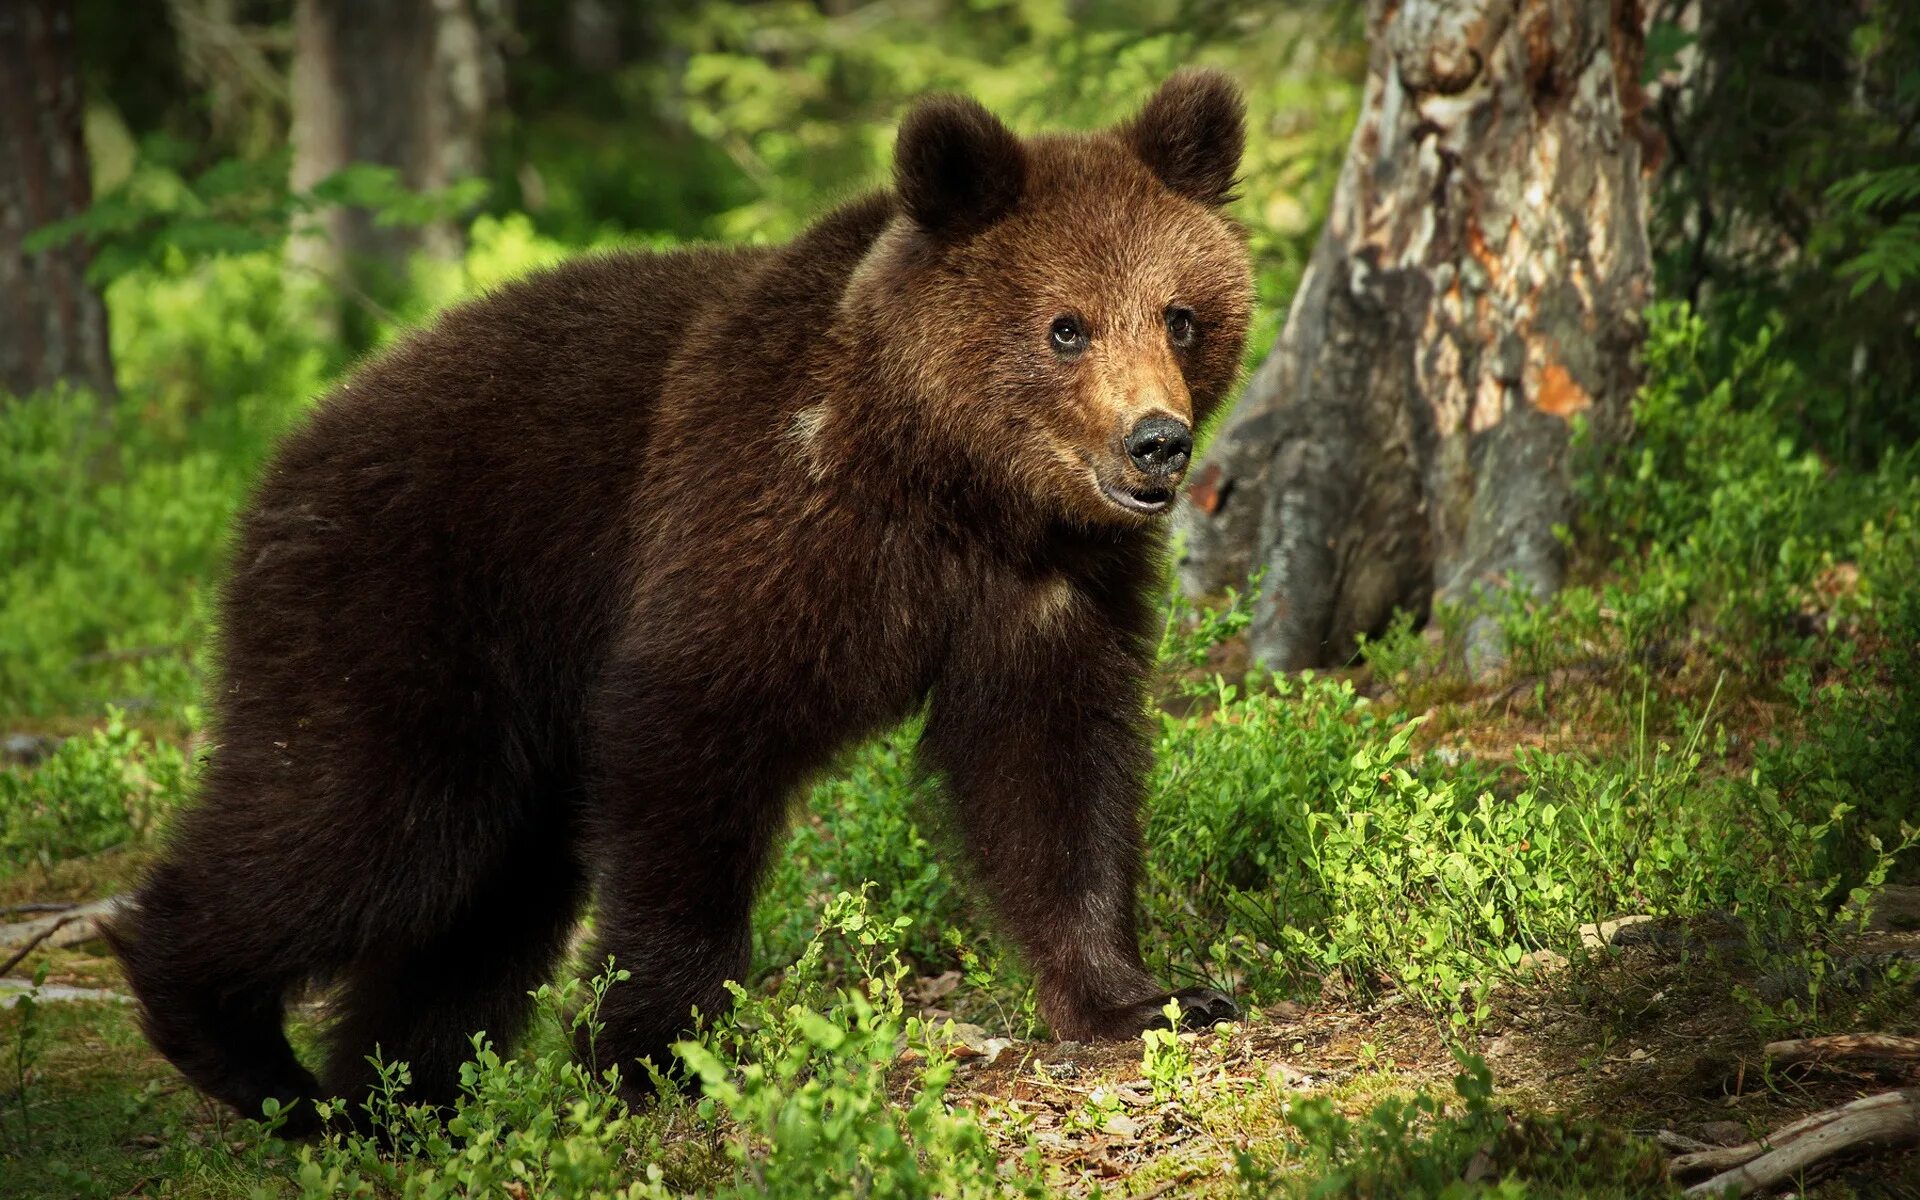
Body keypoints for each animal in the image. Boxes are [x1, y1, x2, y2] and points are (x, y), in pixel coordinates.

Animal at [116, 70, 1259, 1128]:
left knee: (485, 897)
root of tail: (289, 448)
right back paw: (240, 1046)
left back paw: (398, 1097)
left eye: (1180, 317)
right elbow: (690, 748)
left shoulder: (1050, 592)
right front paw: (655, 1053)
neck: (951, 484)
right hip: (408, 607)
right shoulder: (755, 524)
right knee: (364, 825)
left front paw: (1145, 996)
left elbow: (1055, 773)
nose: (1157, 442)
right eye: (1066, 327)